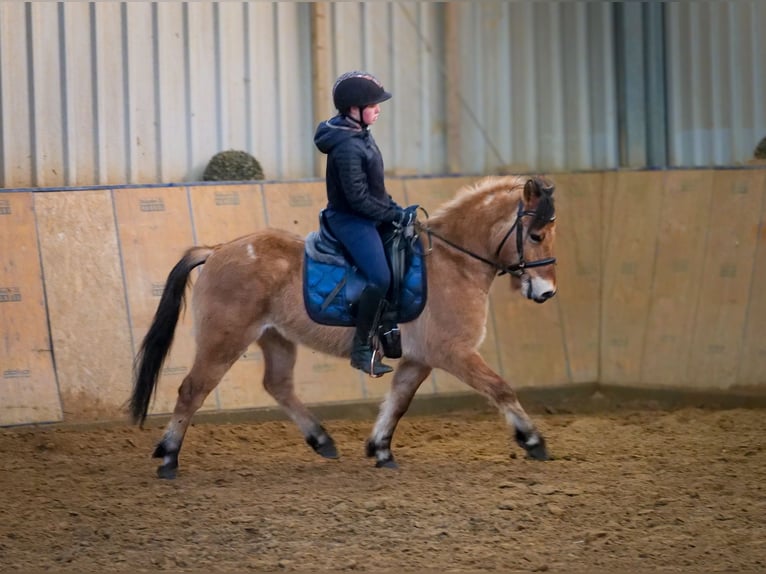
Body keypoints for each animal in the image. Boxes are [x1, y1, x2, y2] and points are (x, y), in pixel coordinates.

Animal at [130, 177, 560, 482]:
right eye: (535, 235)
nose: (546, 292)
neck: (452, 262)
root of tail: (217, 250)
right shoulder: (454, 352)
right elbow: (499, 388)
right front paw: (533, 440)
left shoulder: (419, 359)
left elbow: (398, 401)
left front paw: (380, 449)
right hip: (225, 339)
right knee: (193, 389)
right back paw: (168, 456)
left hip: (275, 337)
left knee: (277, 385)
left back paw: (321, 439)